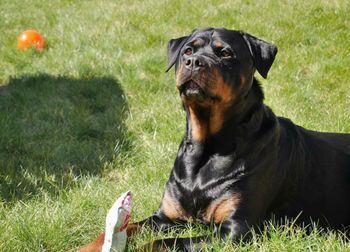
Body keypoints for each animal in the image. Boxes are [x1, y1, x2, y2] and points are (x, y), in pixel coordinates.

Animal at [81, 27, 350, 250]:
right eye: (188, 50)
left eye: (226, 54)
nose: (193, 61)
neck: (207, 148)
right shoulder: (165, 217)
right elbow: (129, 227)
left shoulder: (236, 229)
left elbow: (166, 242)